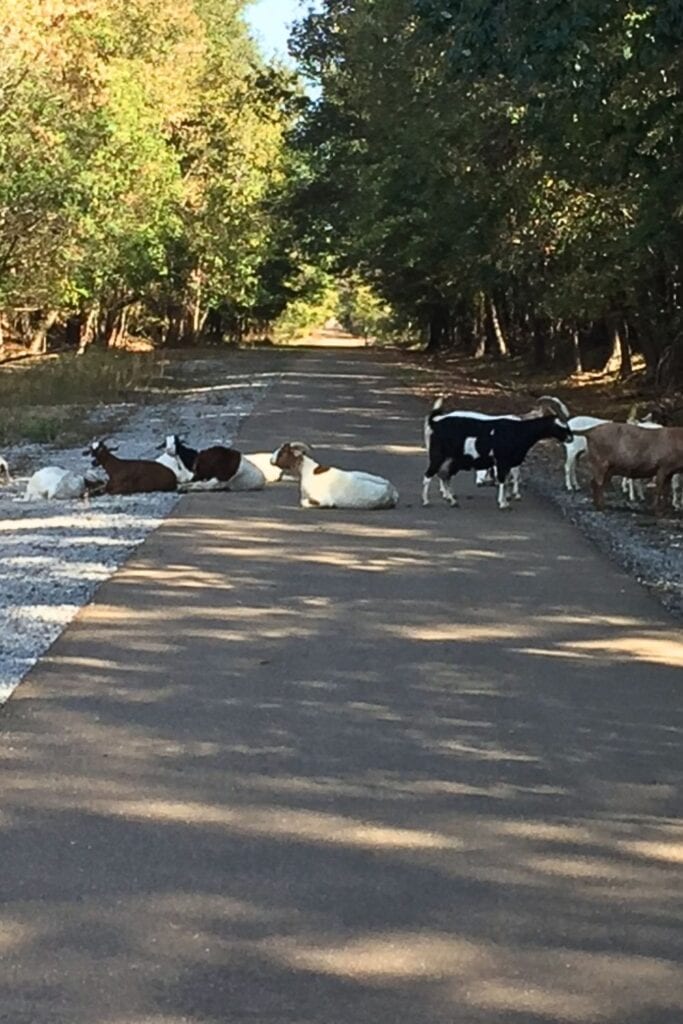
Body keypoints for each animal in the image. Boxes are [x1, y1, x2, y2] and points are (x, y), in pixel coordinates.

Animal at [423, 403, 572, 509]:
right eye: (560, 425)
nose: (570, 438)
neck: (519, 431)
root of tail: (435, 423)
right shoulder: (502, 460)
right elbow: (502, 480)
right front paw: (503, 503)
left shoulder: (509, 463)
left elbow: (506, 480)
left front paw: (506, 499)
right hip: (438, 456)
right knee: (428, 475)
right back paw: (426, 501)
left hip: (450, 459)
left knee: (444, 475)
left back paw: (452, 501)